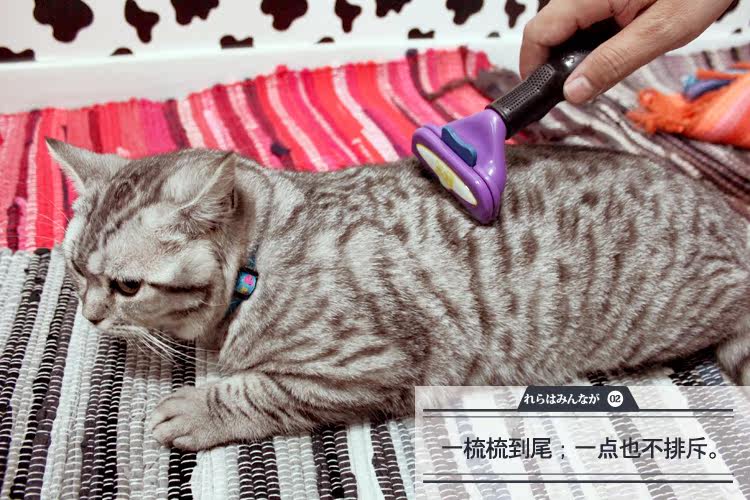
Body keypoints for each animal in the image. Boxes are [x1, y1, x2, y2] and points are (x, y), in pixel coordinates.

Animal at [45, 138, 750, 451]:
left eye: (126, 286)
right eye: (76, 270)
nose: (89, 315)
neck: (260, 259)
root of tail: (724, 208)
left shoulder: (364, 366)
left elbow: (260, 390)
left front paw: (195, 407)